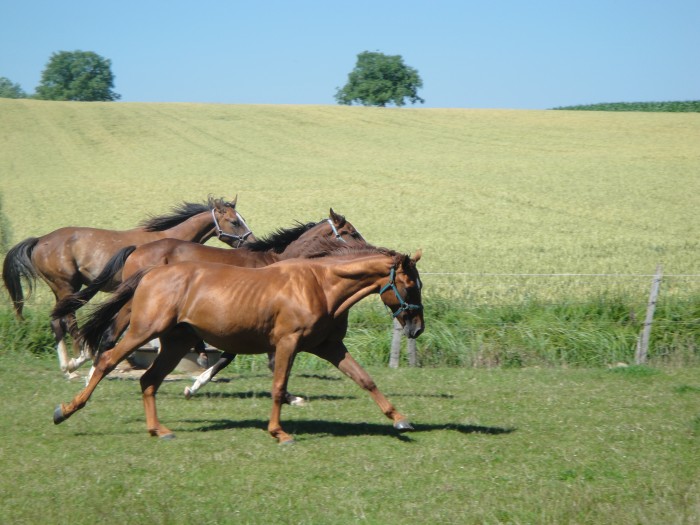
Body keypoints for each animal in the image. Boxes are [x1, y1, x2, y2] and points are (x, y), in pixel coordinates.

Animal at [2, 195, 254, 372]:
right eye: (234, 221)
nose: (252, 241)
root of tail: (39, 240)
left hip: (64, 289)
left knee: (57, 320)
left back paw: (68, 367)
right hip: (67, 287)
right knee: (68, 319)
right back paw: (82, 356)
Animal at [50, 209, 366, 402]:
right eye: (351, 232)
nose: (369, 247)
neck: (277, 262)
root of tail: (136, 249)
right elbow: (237, 358)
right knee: (110, 334)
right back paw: (86, 372)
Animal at [54, 246, 424, 442]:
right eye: (409, 285)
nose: (417, 328)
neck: (319, 285)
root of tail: (150, 272)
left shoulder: (329, 347)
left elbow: (365, 380)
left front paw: (400, 420)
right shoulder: (287, 343)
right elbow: (278, 386)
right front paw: (279, 433)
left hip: (175, 342)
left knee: (149, 380)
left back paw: (159, 429)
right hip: (143, 331)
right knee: (107, 361)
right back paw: (65, 410)